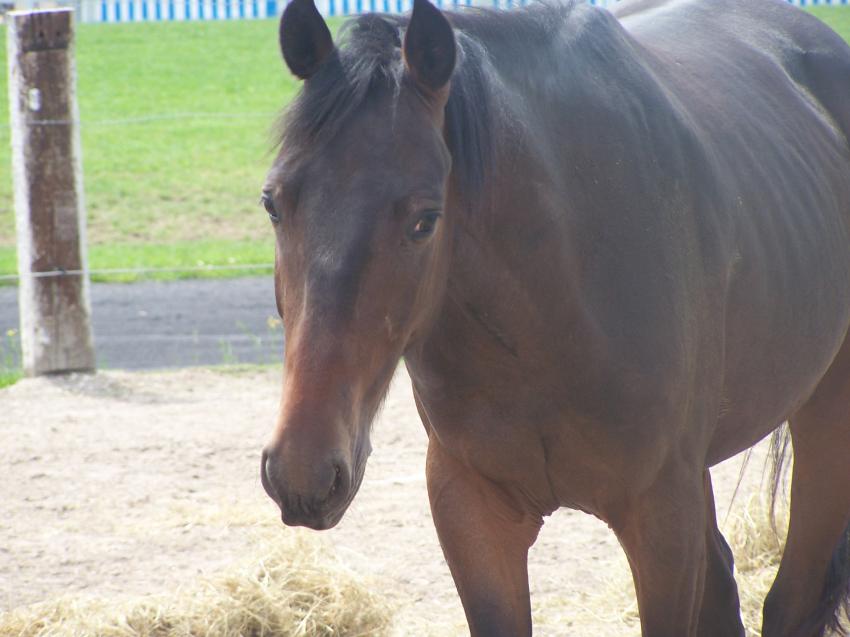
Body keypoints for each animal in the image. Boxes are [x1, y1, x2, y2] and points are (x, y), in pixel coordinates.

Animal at [258, 0, 850, 633]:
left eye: (424, 220)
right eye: (273, 203)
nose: (303, 471)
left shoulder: (662, 518)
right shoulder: (472, 509)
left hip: (824, 418)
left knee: (791, 599)